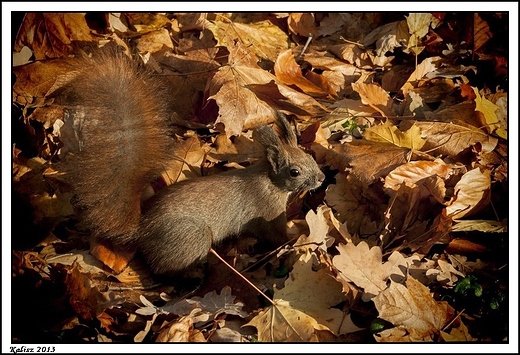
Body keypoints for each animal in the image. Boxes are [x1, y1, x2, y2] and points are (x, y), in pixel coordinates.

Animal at [58, 48, 324, 276]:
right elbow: (277, 235)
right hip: (194, 237)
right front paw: (298, 234)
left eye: (309, 155)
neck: (268, 180)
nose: (321, 178)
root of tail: (143, 230)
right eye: (294, 172)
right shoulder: (268, 211)